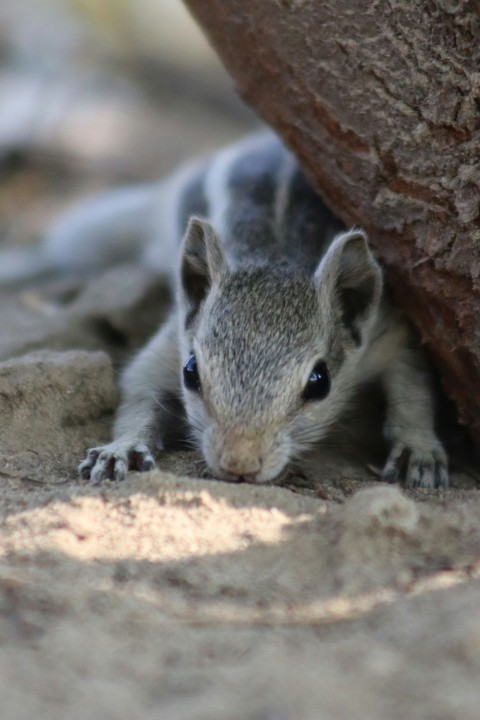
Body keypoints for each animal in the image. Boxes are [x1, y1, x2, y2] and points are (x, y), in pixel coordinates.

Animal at [1, 131, 449, 488]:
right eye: (190, 372)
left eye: (319, 382)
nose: (239, 464)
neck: (278, 254)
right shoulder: (175, 338)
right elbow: (138, 385)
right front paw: (121, 447)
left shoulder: (384, 333)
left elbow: (413, 383)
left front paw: (418, 449)